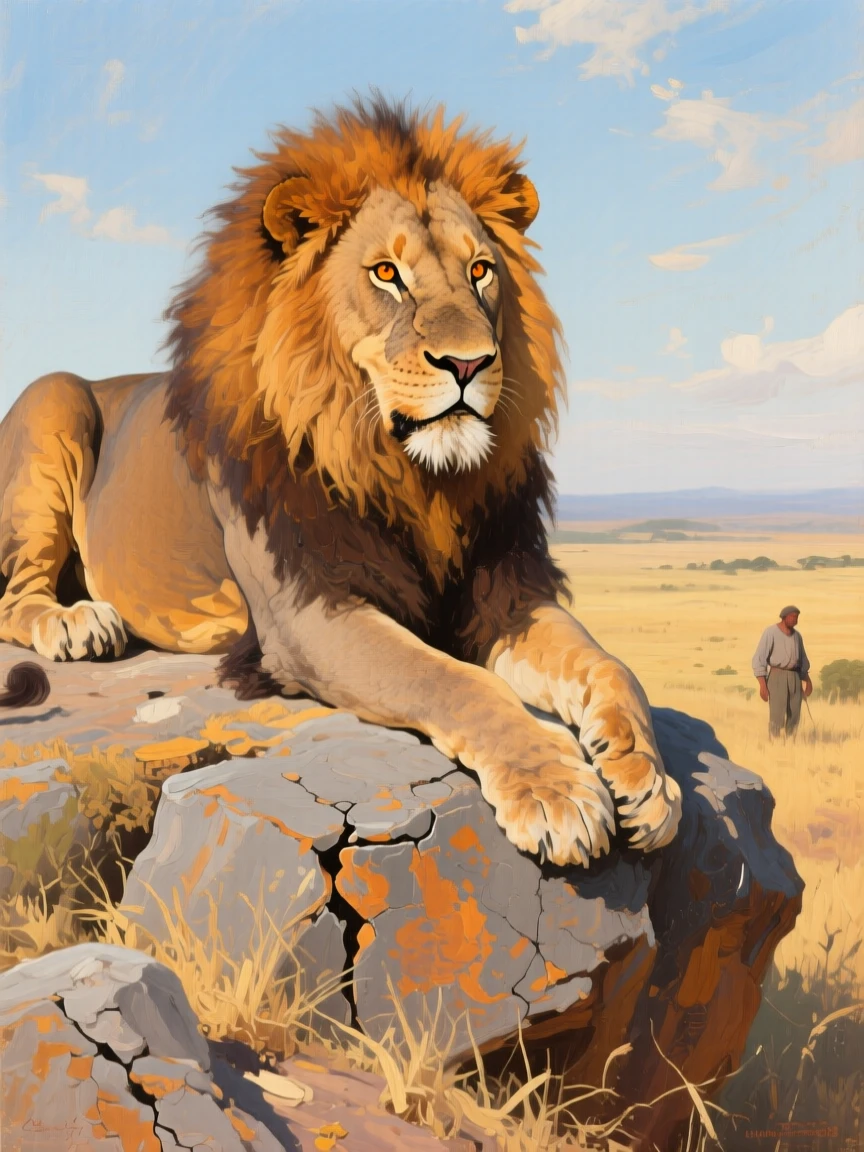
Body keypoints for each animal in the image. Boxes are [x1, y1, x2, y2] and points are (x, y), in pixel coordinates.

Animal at [0, 97, 681, 866]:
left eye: (481, 270)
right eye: (386, 273)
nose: (470, 363)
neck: (410, 474)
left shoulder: (504, 591)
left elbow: (609, 666)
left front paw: (644, 777)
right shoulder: (309, 614)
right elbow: (454, 680)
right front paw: (553, 789)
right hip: (52, 402)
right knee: (15, 597)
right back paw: (77, 622)